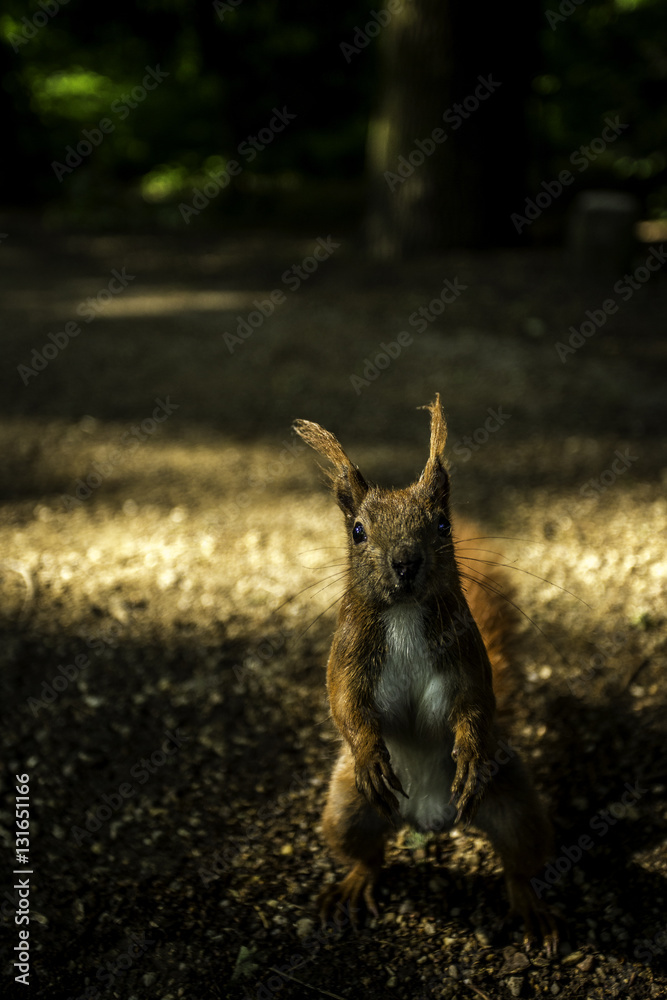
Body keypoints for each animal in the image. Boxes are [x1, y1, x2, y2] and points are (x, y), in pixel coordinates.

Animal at [293, 394, 558, 953]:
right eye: (357, 532)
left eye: (442, 526)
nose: (405, 563)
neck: (404, 614)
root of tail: (429, 819)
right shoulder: (346, 658)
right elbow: (344, 703)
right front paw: (370, 752)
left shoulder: (468, 657)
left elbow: (477, 705)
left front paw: (469, 753)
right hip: (348, 806)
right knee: (366, 852)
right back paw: (353, 884)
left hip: (514, 802)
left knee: (519, 861)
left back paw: (530, 906)